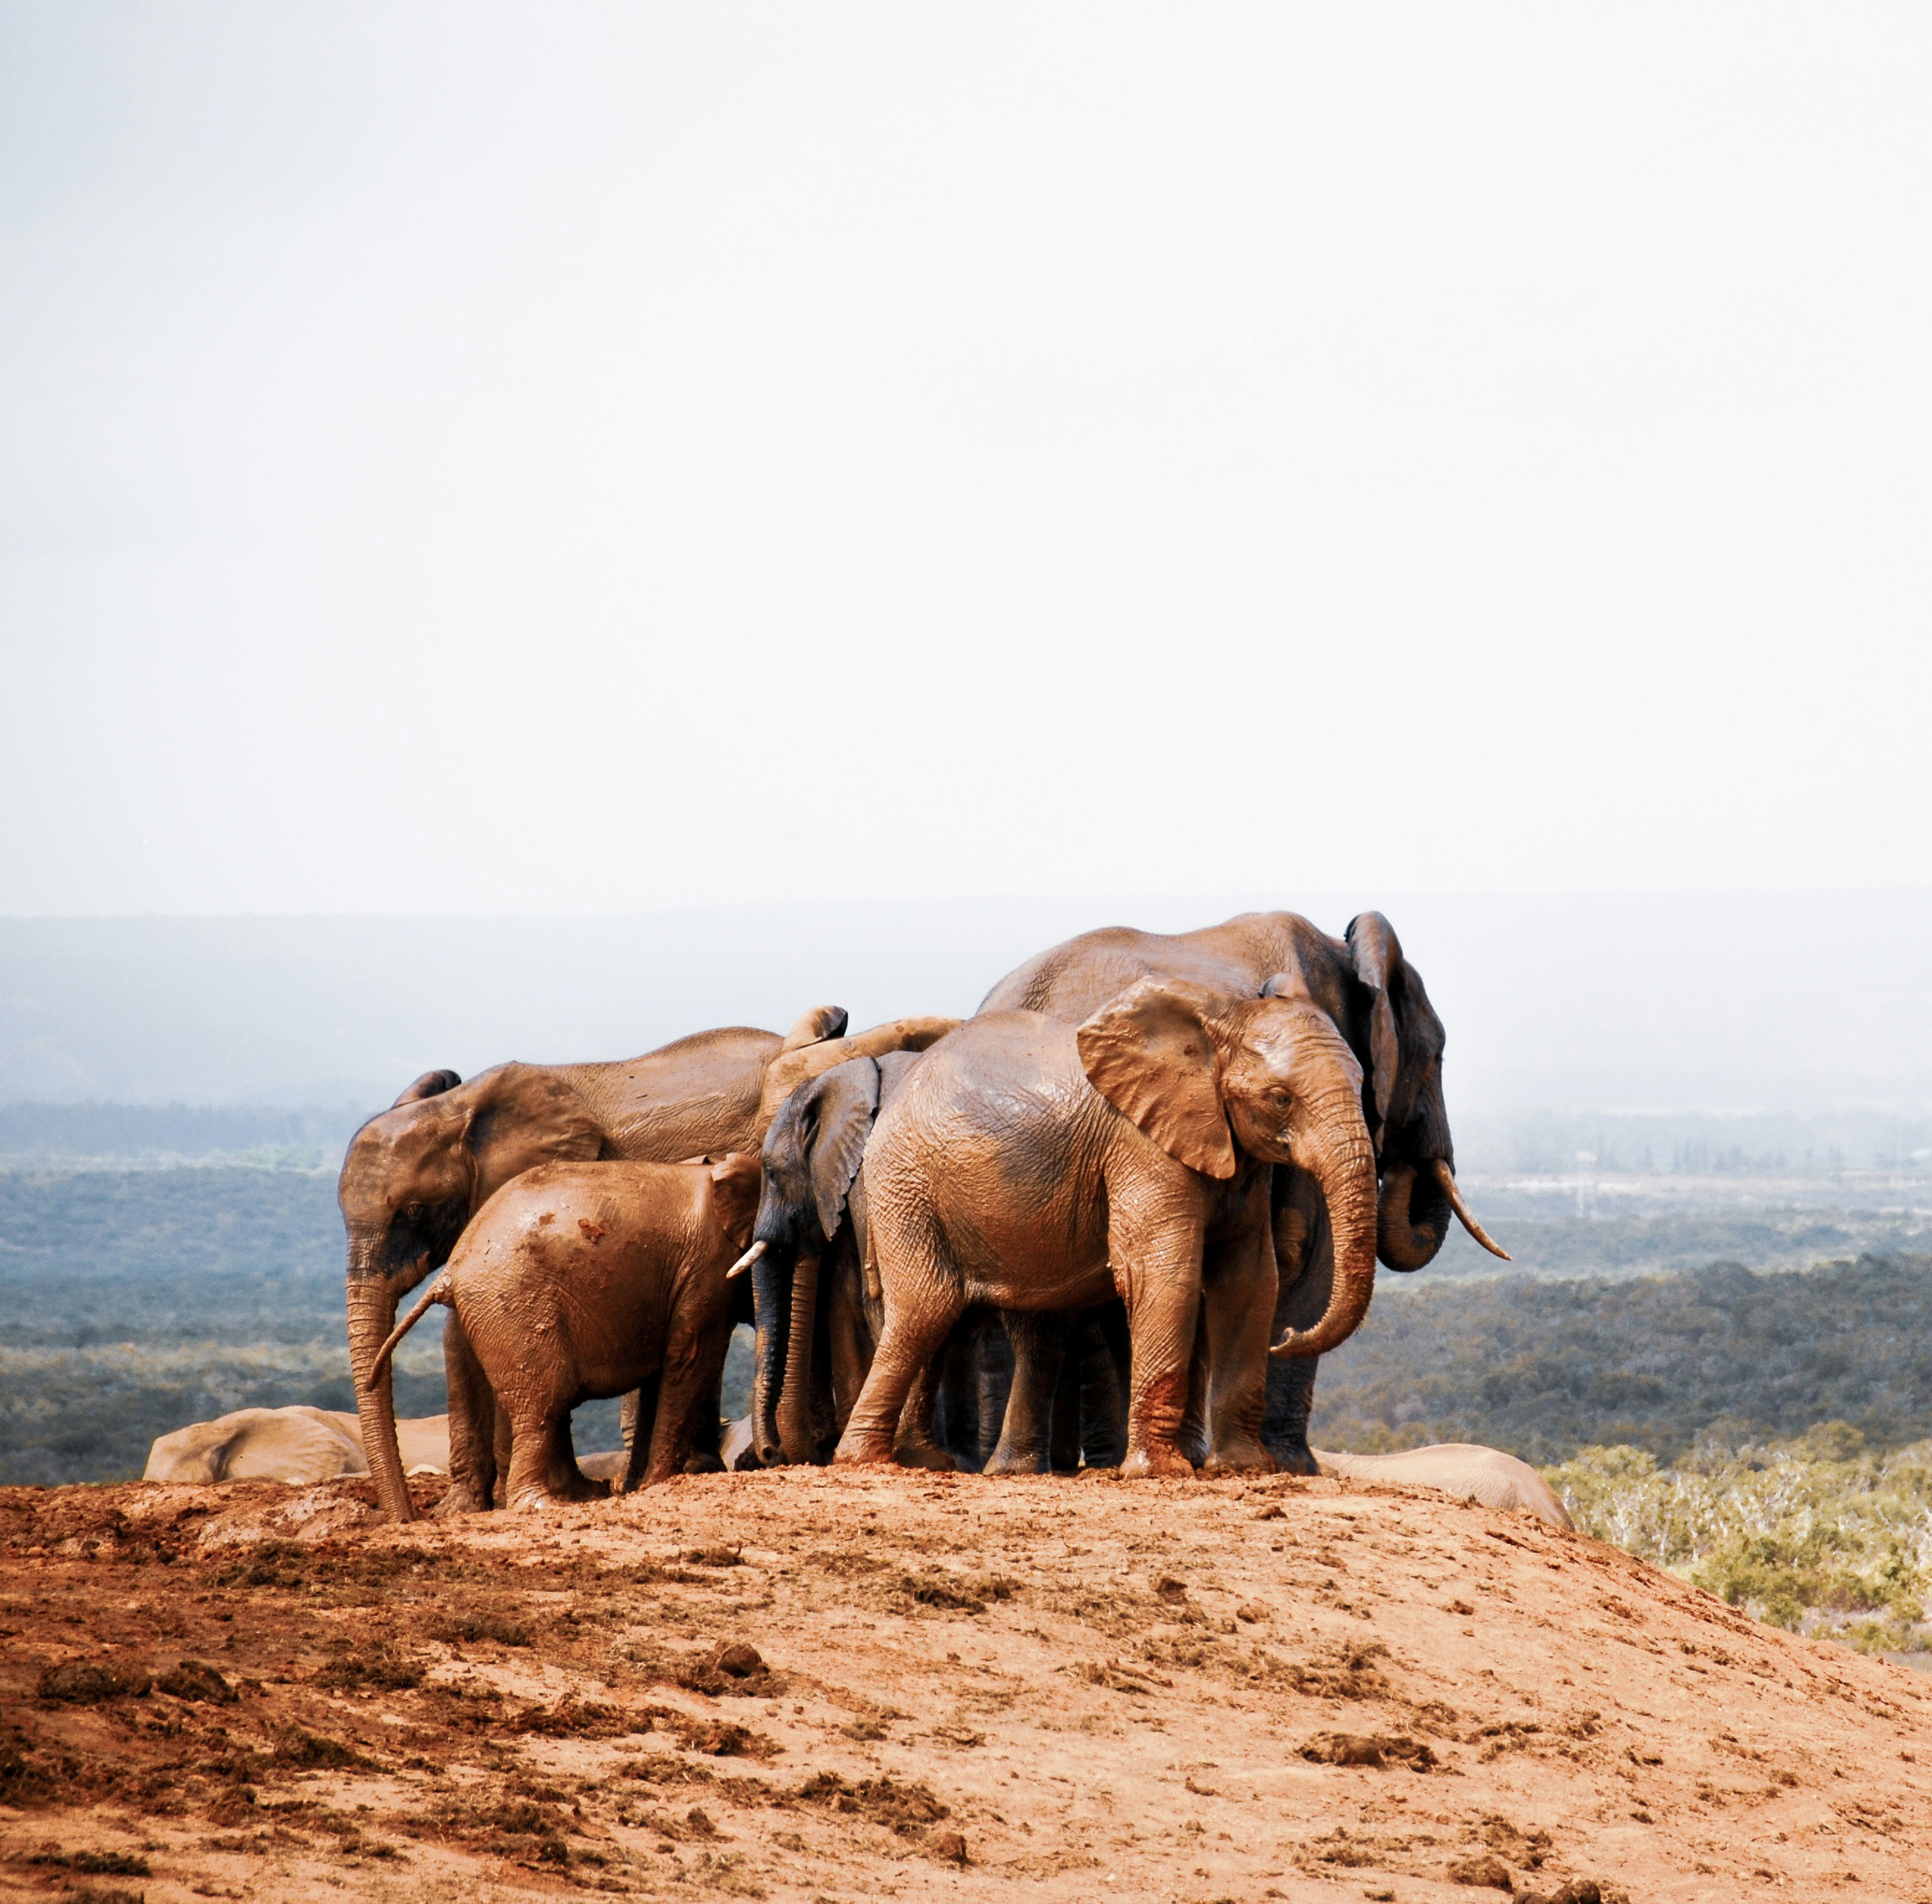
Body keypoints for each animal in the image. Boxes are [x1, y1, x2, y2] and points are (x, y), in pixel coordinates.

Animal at [364, 1154, 762, 1506]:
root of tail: (453, 1268)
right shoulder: (707, 1267)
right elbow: (690, 1358)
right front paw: (656, 1484)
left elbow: (661, 1375)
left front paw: (638, 1485)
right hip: (514, 1304)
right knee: (545, 1398)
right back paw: (542, 1504)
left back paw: (581, 1494)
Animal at [836, 969, 1379, 1478]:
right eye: (1280, 1098)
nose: (1285, 1337)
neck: (1221, 1019)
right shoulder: (1141, 1143)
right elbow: (1164, 1271)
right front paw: (1161, 1472)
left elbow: (1249, 1279)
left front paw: (1242, 1468)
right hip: (906, 1185)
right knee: (927, 1307)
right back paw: (865, 1460)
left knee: (999, 1326)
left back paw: (943, 1463)